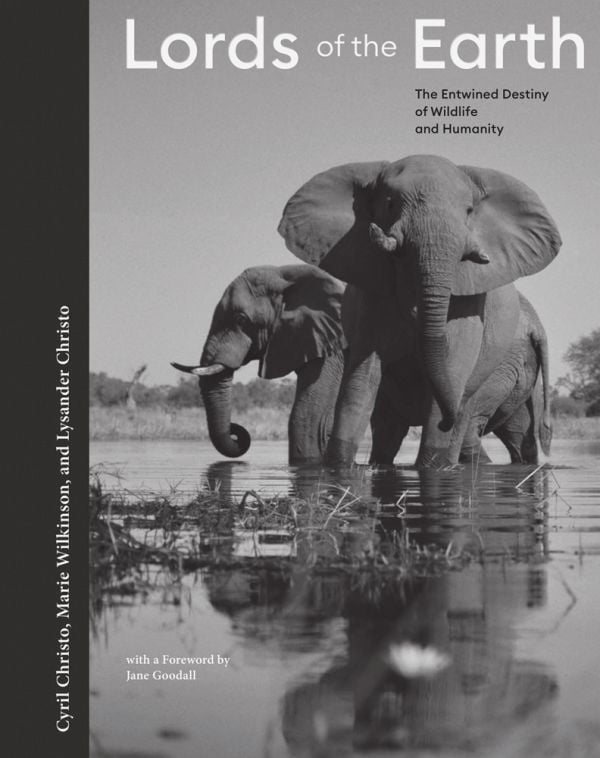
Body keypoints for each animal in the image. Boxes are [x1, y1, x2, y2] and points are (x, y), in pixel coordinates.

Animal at [278, 154, 560, 467]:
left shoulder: (468, 299)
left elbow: (454, 366)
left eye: (469, 211)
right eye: (390, 203)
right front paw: (341, 468)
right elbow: (362, 379)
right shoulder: (371, 289)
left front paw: (434, 466)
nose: (447, 421)